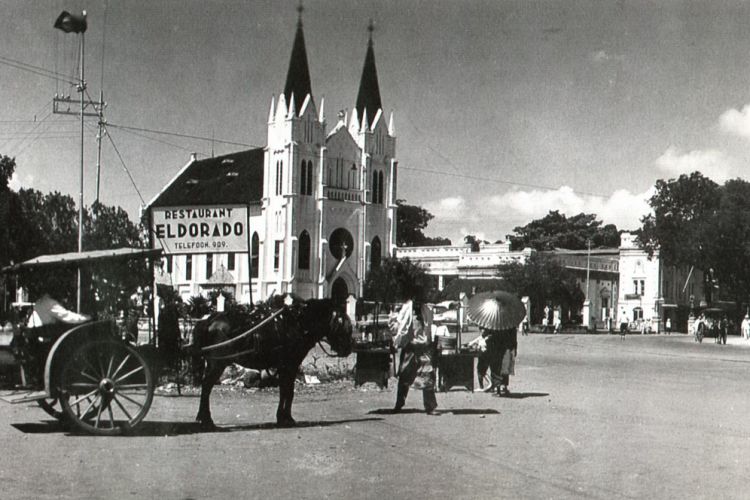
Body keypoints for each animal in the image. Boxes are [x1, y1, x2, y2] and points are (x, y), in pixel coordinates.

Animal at [188, 294, 352, 428]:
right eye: (341, 320)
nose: (348, 348)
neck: (297, 324)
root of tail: (209, 320)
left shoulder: (284, 367)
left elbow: (284, 391)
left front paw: (282, 417)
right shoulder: (290, 365)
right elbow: (289, 391)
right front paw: (287, 418)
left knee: (206, 387)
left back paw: (203, 418)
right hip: (218, 364)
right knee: (206, 387)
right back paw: (206, 419)